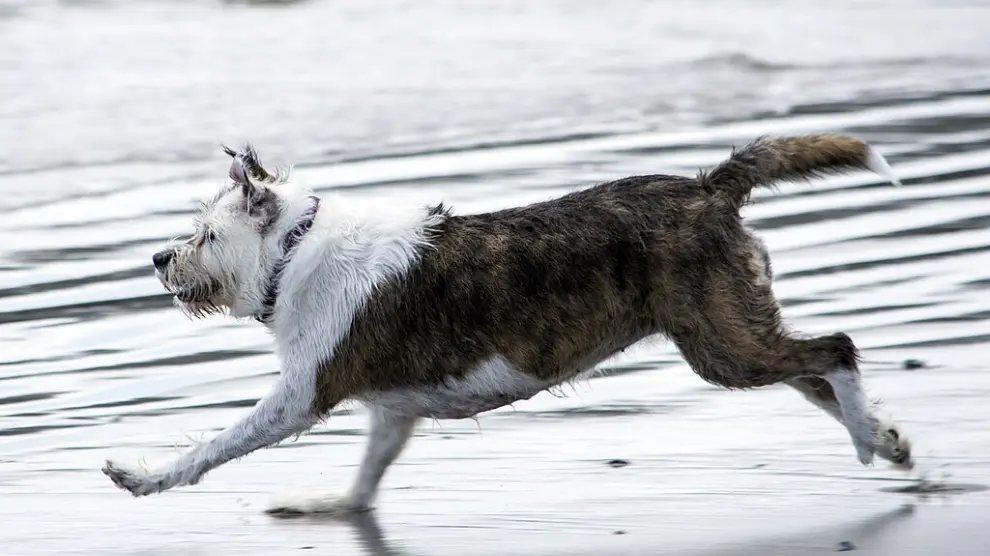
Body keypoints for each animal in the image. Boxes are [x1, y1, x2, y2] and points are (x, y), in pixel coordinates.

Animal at [102, 133, 915, 514]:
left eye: (207, 236)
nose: (158, 256)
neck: (295, 251)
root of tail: (711, 189)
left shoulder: (300, 394)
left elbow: (218, 443)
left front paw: (143, 477)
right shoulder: (394, 409)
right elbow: (369, 475)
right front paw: (334, 506)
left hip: (721, 345)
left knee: (835, 350)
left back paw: (870, 440)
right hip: (731, 327)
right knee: (815, 371)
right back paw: (885, 437)